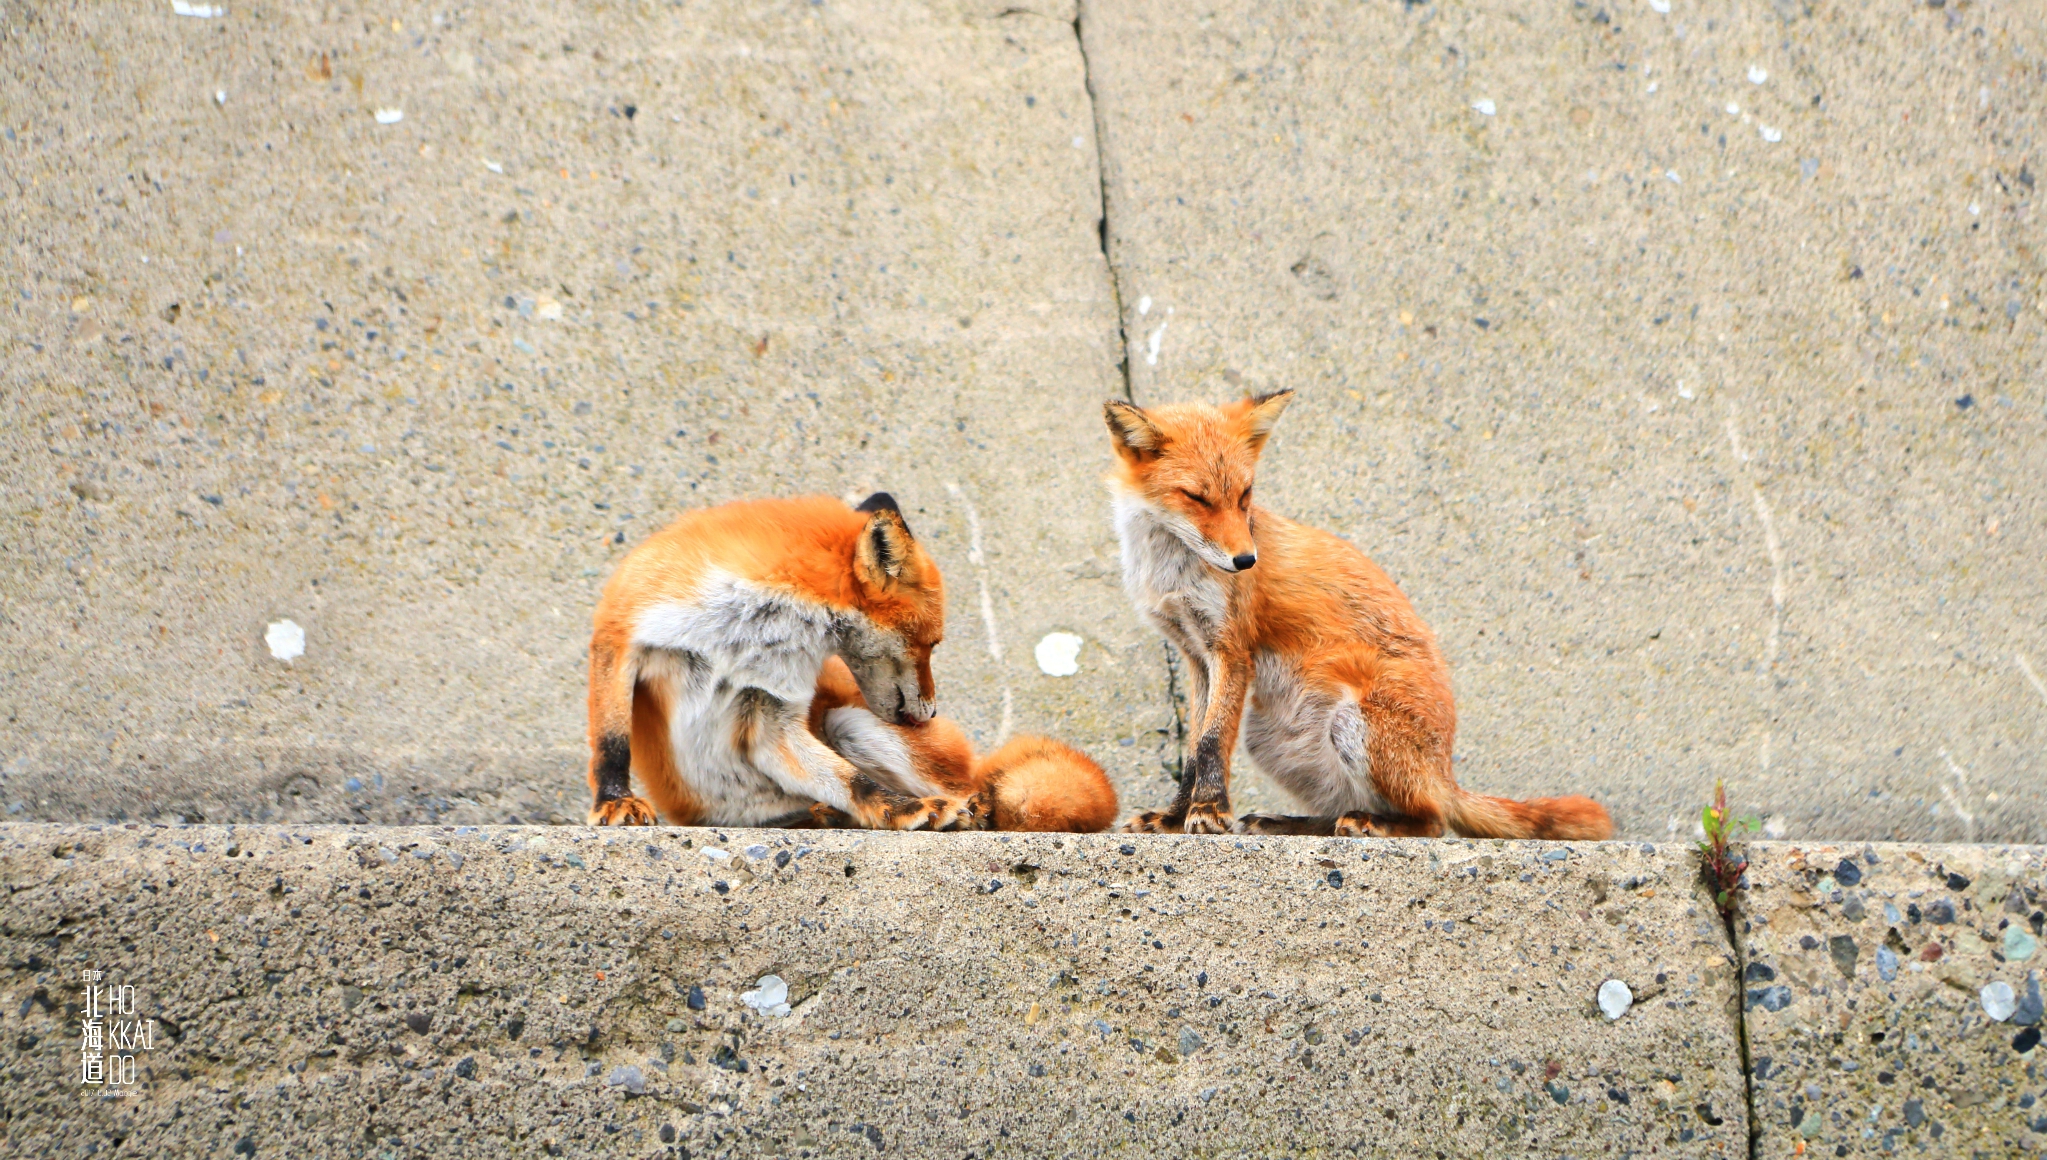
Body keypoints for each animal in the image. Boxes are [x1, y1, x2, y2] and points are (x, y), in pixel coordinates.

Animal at [585, 495, 990, 830]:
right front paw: (615, 801)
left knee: (973, 789)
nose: (932, 712)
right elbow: (612, 743)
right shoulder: (619, 634)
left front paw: (905, 808)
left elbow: (855, 782)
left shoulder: (769, 706)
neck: (742, 636)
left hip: (850, 724)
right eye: (931, 645)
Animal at [1105, 392, 1613, 842]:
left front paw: (1208, 812)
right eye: (1197, 497)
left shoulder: (1231, 649)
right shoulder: (1195, 655)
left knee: (1433, 821)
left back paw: (1379, 824)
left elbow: (1211, 743)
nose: (1246, 561)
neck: (1170, 569)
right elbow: (1194, 750)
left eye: (1245, 495)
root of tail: (1445, 774)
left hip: (1353, 724)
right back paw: (1293, 822)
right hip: (1268, 738)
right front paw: (1175, 818)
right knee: (1340, 808)